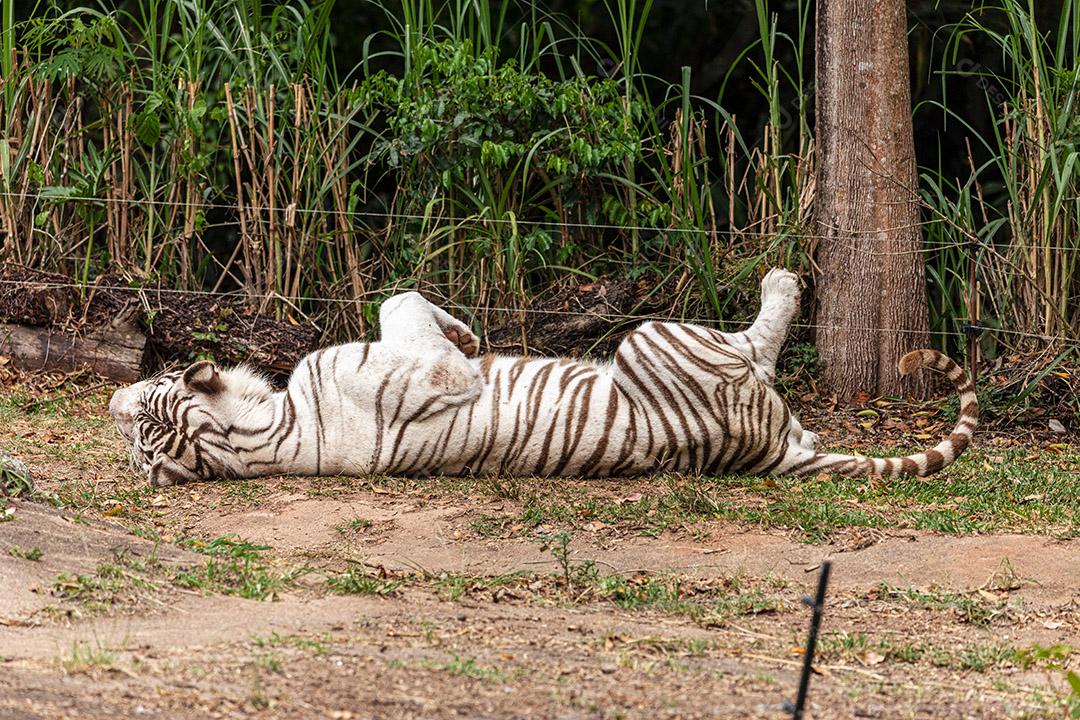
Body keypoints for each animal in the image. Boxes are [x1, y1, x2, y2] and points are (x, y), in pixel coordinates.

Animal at [109, 269, 978, 487]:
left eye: (143, 406)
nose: (114, 400)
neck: (262, 434)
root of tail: (772, 454)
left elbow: (401, 298)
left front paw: (468, 327)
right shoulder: (430, 372)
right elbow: (407, 310)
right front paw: (465, 334)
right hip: (651, 339)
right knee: (757, 347)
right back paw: (783, 279)